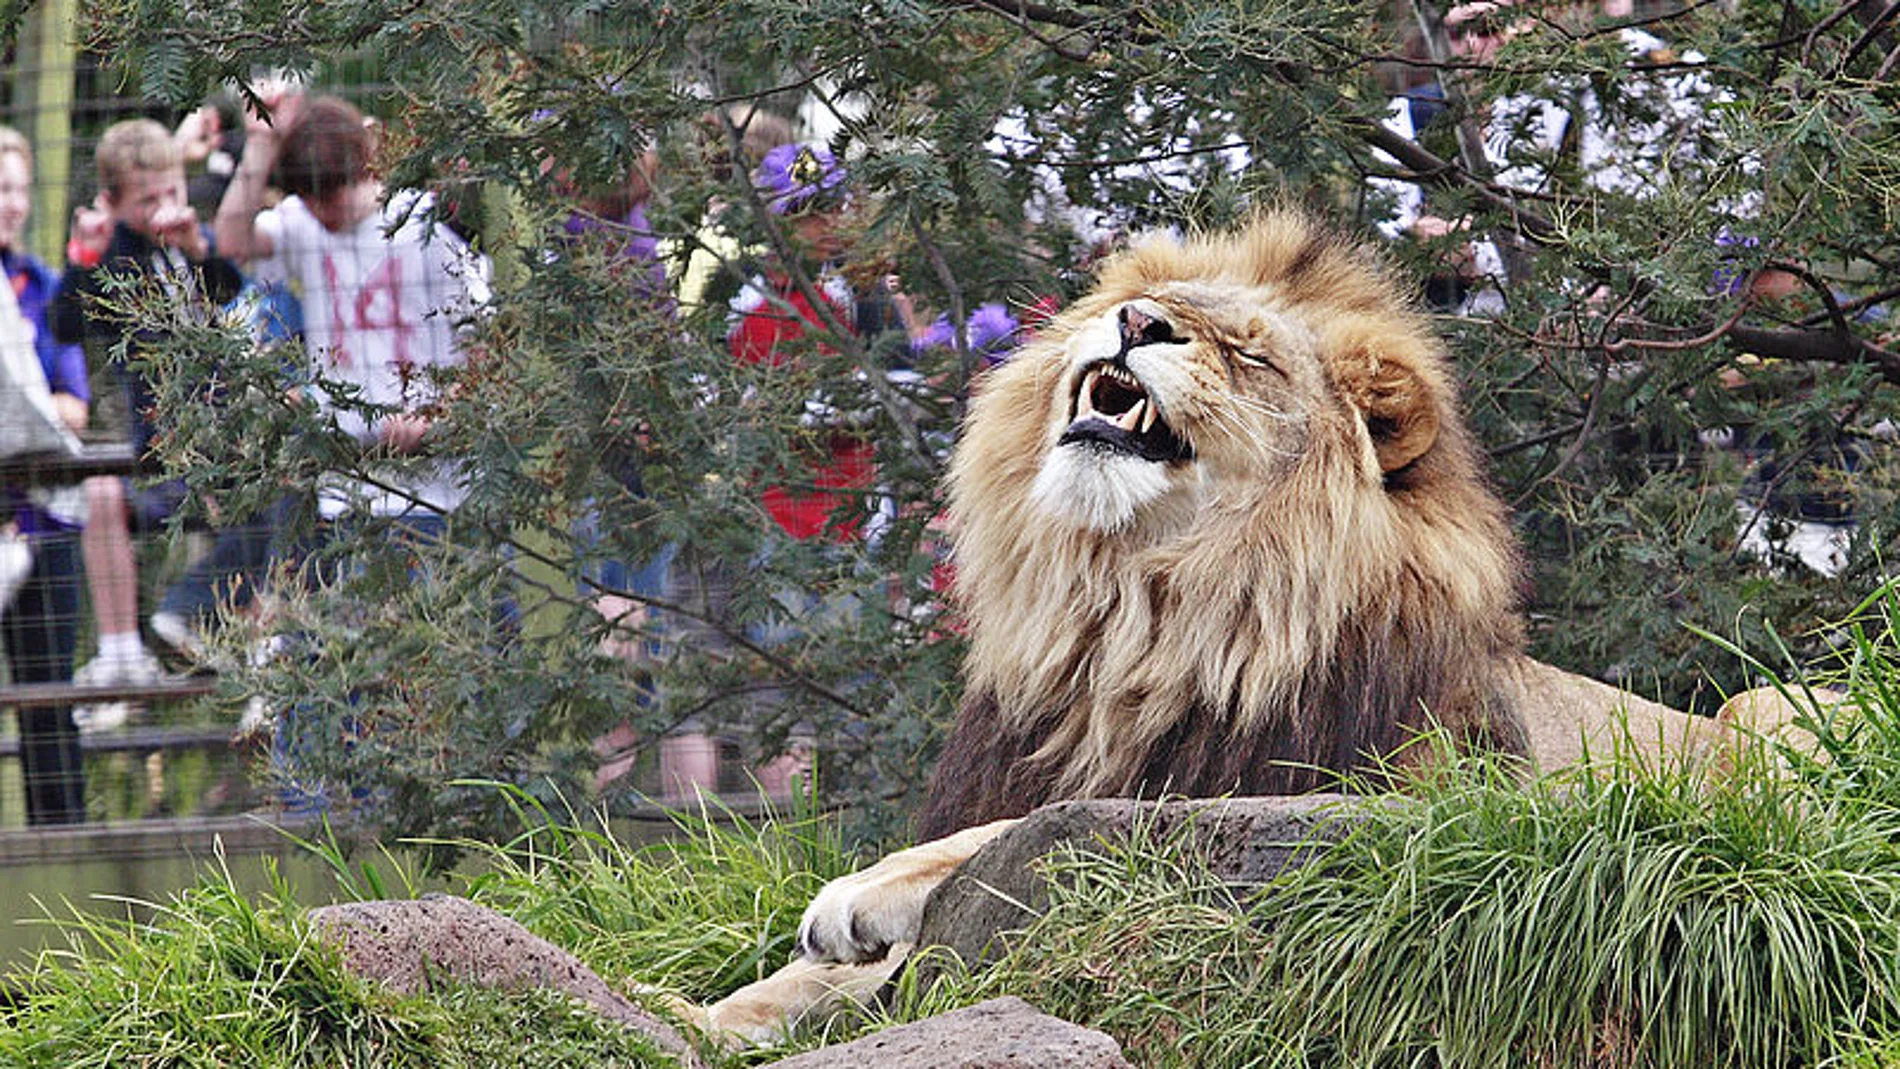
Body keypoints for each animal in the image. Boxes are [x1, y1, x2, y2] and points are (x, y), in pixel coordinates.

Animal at [686, 209, 1787, 1043]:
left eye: (1249, 352)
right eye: (1141, 306)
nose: (1135, 320)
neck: (1133, 619)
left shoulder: (1401, 800)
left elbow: (1036, 829)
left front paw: (860, 893)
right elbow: (802, 984)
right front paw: (698, 1012)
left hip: (1763, 710)